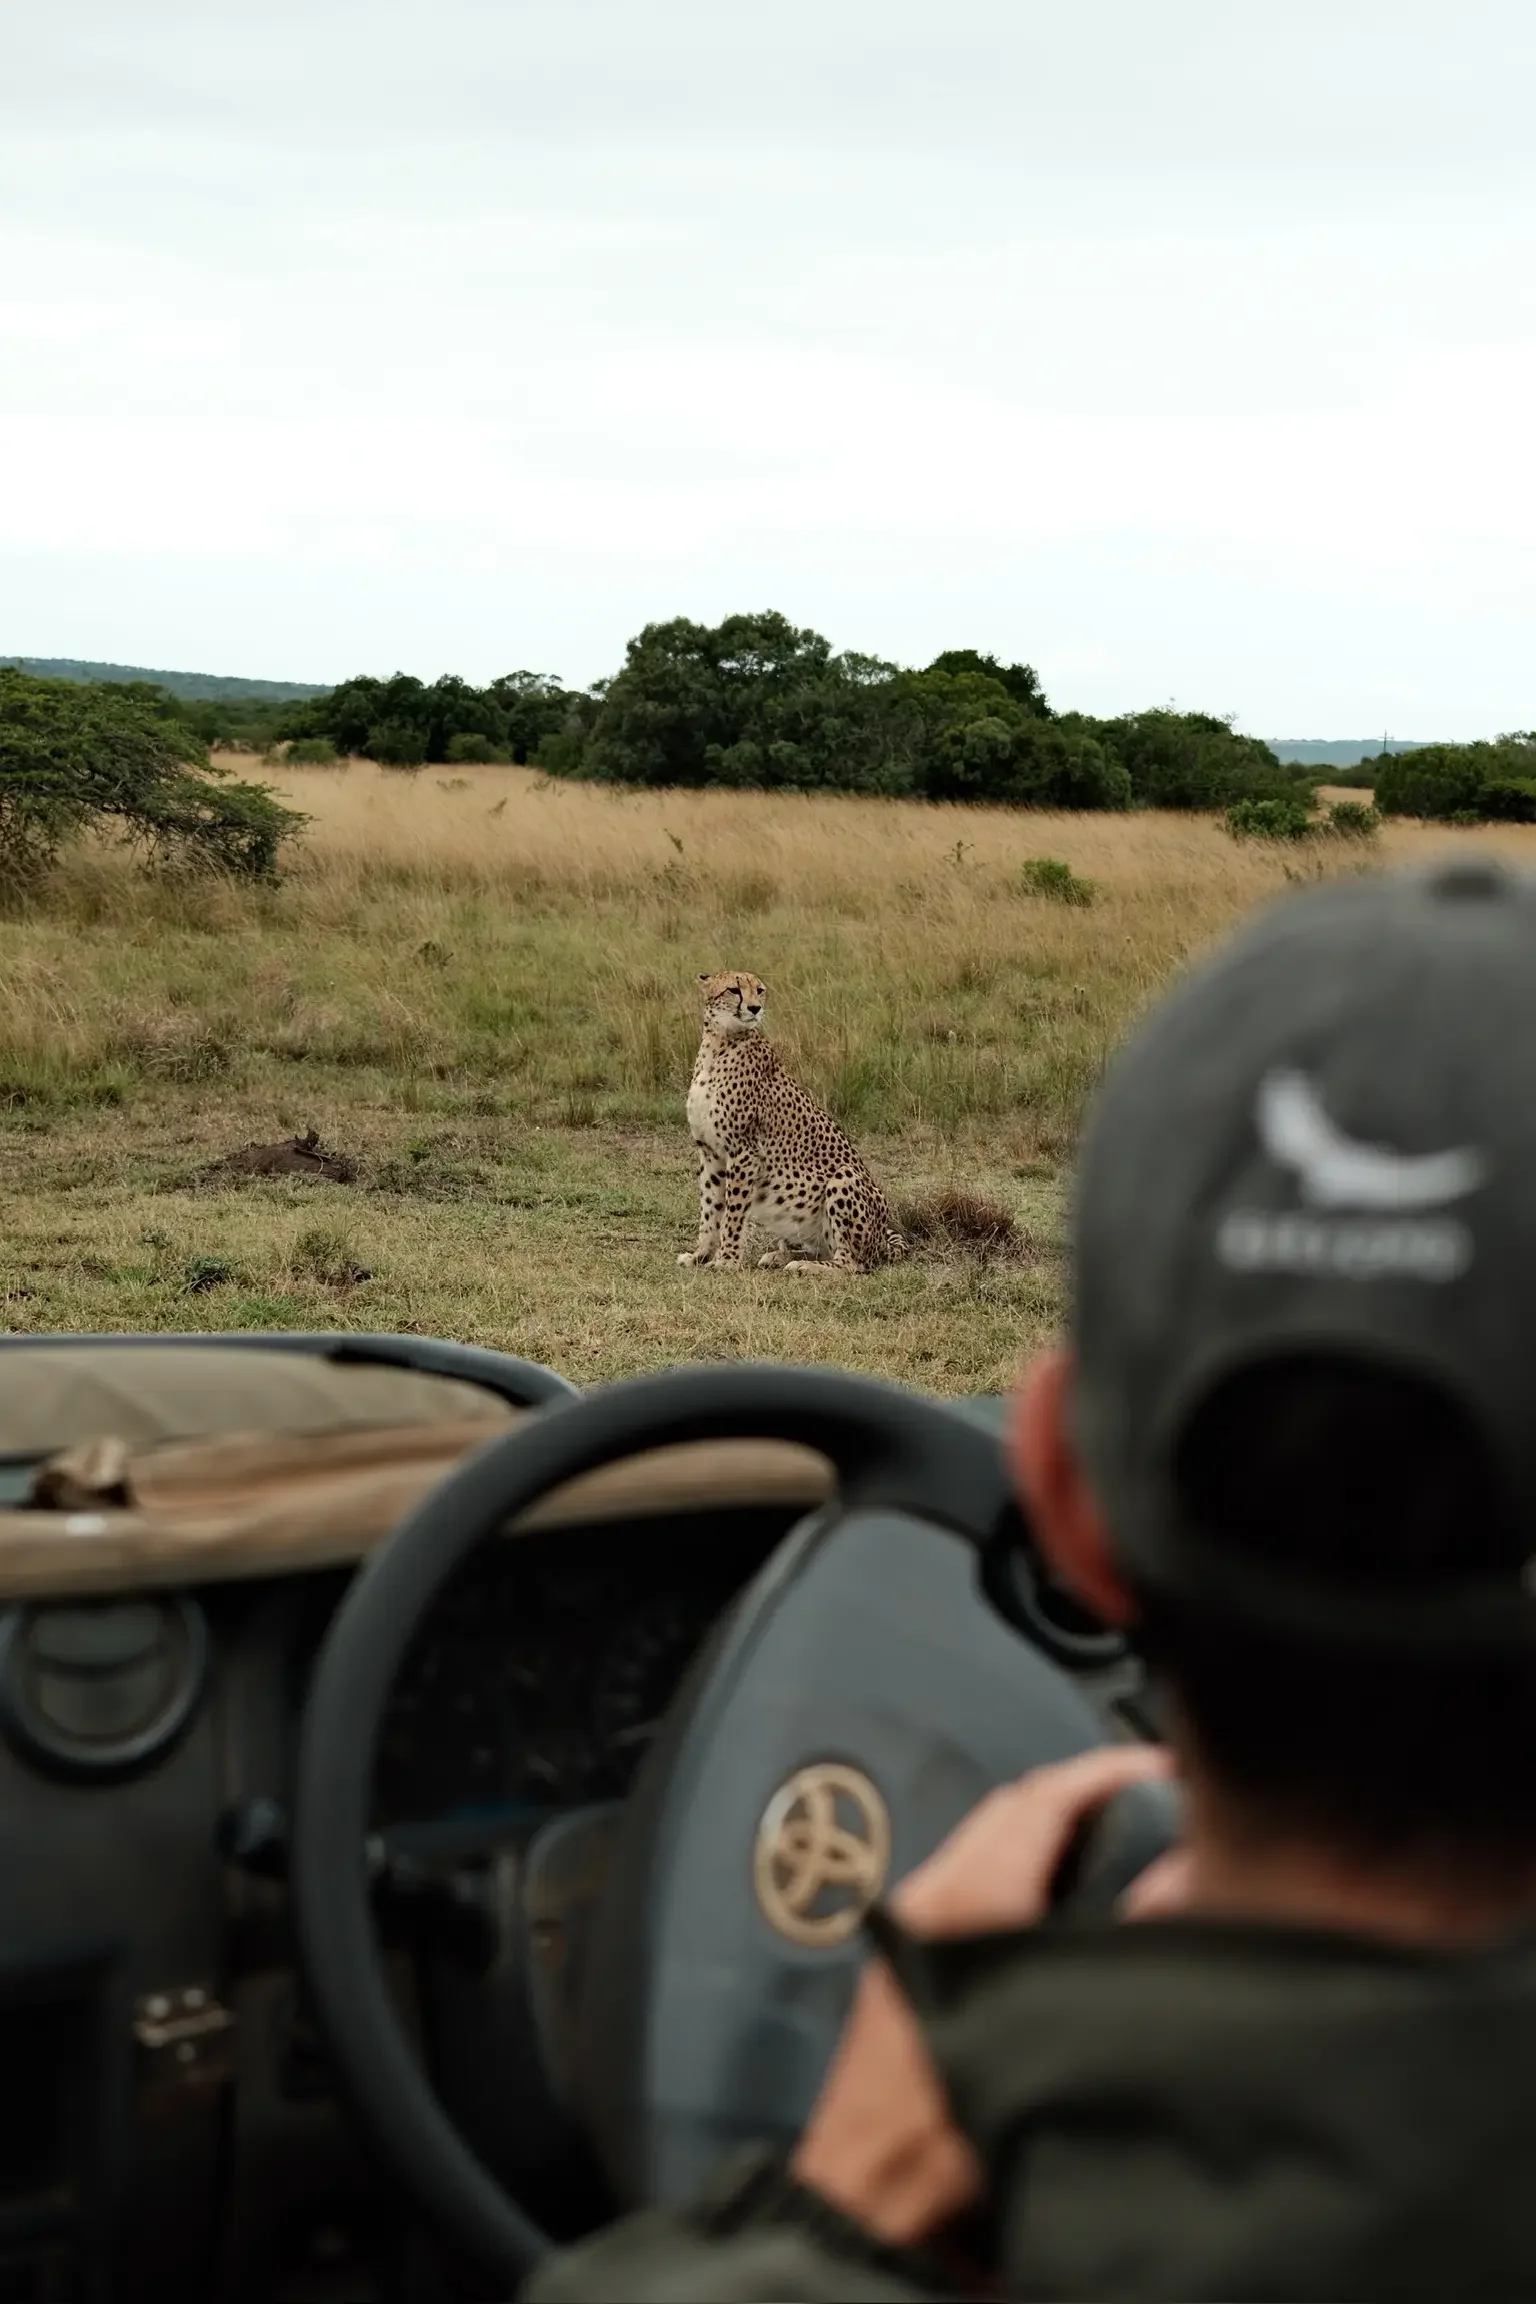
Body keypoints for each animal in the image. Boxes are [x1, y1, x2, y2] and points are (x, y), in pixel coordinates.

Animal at [678, 971, 908, 1273]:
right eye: (733, 990)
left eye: (759, 990)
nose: (755, 1008)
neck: (719, 1043)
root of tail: (884, 1238)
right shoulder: (710, 1152)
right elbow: (709, 1209)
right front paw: (700, 1255)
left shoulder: (744, 1152)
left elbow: (733, 1213)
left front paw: (726, 1260)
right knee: (825, 1250)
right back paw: (782, 1256)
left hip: (844, 1177)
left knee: (852, 1263)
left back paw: (804, 1266)